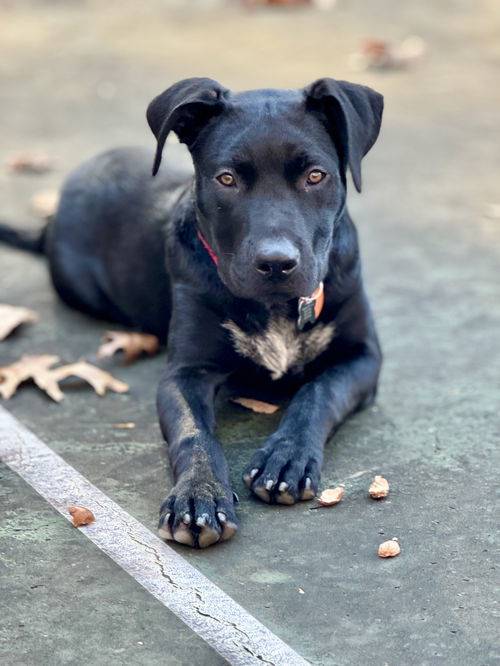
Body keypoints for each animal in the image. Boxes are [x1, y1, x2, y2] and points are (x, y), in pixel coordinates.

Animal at [0, 76, 382, 544]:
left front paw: (287, 457)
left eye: (316, 176)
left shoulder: (363, 356)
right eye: (226, 179)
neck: (275, 305)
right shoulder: (184, 373)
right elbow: (193, 433)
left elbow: (319, 392)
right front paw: (199, 495)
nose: (276, 263)